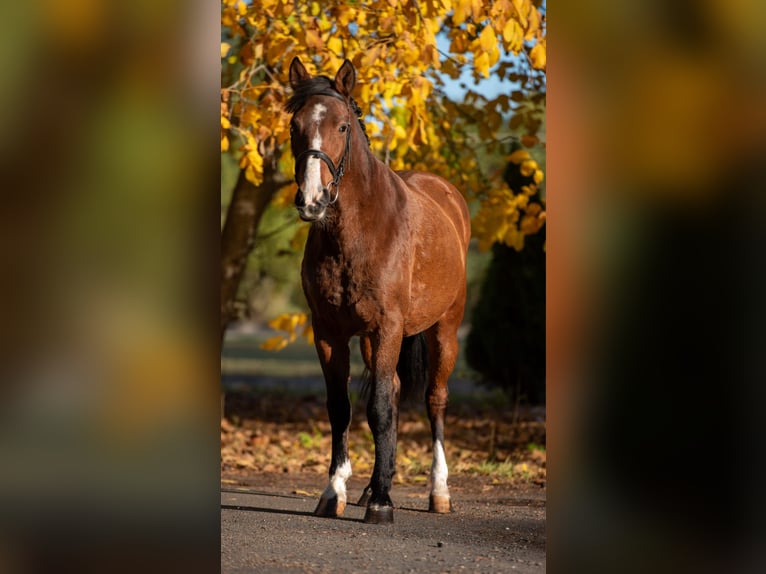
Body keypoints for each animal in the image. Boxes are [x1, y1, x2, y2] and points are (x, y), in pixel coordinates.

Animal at [286, 57, 470, 524]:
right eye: (295, 125)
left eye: (342, 126)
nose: (312, 199)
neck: (359, 232)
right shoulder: (329, 333)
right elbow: (341, 408)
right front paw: (336, 492)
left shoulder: (387, 328)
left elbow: (381, 408)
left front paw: (384, 504)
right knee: (397, 391)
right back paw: (373, 485)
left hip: (444, 330)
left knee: (434, 399)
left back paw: (437, 492)